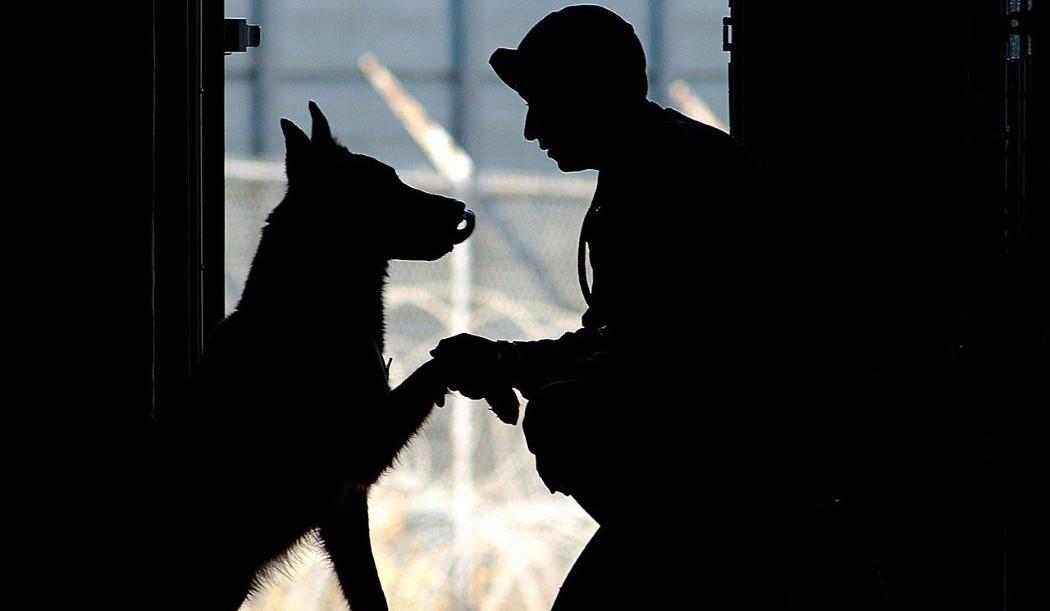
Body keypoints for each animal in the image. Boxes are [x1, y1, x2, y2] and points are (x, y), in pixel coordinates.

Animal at [161, 102, 474, 608]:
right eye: (384, 186)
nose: (461, 212)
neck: (310, 307)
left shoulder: (345, 507)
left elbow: (370, 592)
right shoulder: (364, 449)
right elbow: (434, 367)